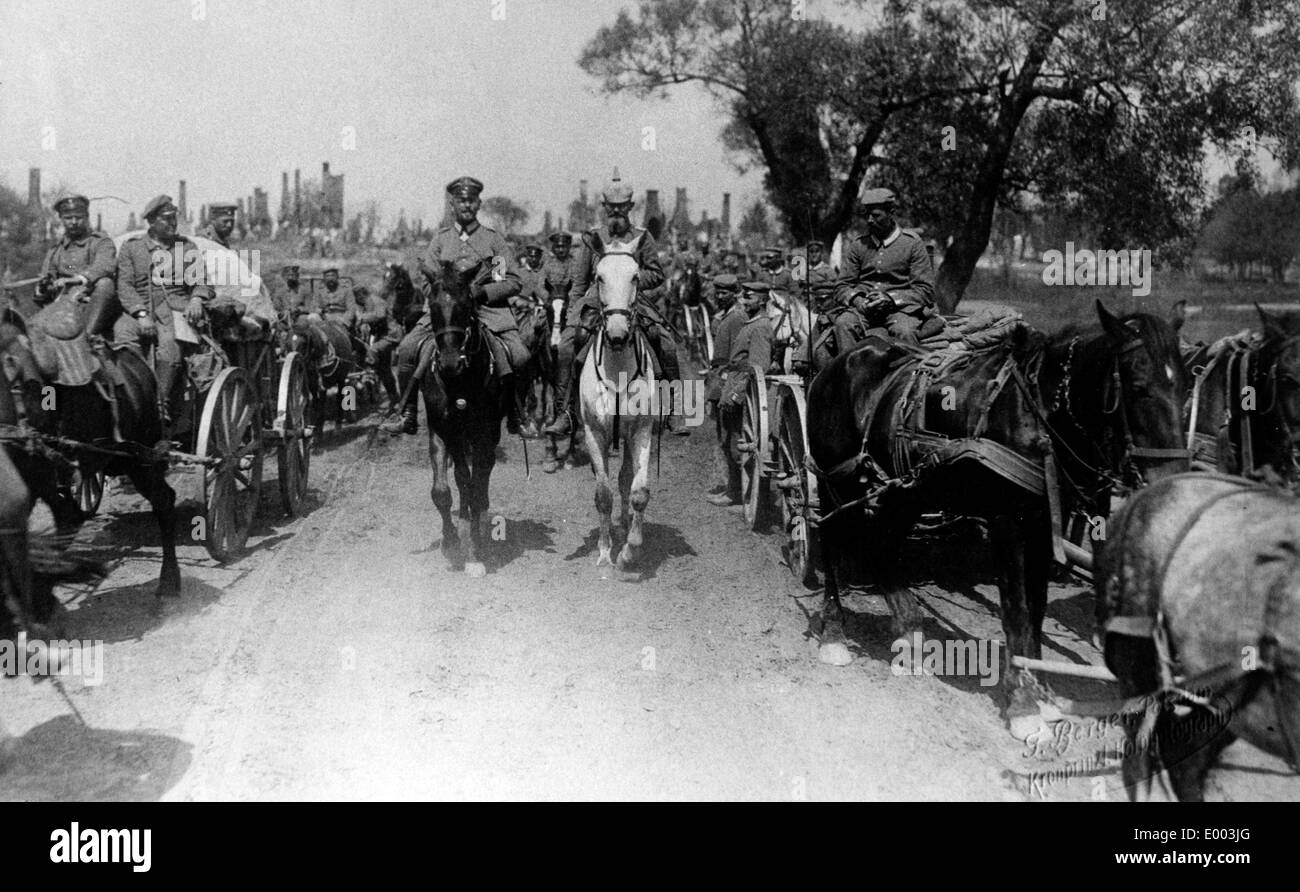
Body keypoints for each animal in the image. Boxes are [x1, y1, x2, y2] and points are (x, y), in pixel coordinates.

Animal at [418, 258, 504, 579]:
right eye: (432, 305)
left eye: (467, 304)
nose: (450, 362)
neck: (459, 383)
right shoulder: (444, 430)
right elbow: (445, 489)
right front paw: (452, 539)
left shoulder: (482, 432)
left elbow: (475, 483)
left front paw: (474, 553)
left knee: (483, 473)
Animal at [811, 304, 1190, 738]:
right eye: (1140, 387)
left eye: (1185, 389)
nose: (1172, 482)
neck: (1037, 414)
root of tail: (840, 361)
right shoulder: (1007, 523)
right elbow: (1016, 611)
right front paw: (1022, 703)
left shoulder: (1043, 524)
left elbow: (1036, 609)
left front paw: (1041, 691)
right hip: (836, 481)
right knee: (830, 538)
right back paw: (834, 634)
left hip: (904, 490)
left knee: (882, 545)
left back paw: (909, 633)